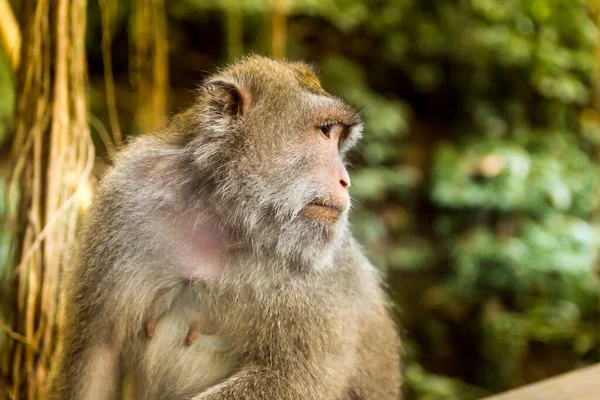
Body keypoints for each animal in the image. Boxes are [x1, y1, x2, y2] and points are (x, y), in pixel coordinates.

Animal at [48, 56, 404, 400]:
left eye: (338, 137)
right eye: (326, 130)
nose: (345, 180)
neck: (226, 213)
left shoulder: (324, 274)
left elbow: (293, 379)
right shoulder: (126, 196)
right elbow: (97, 350)